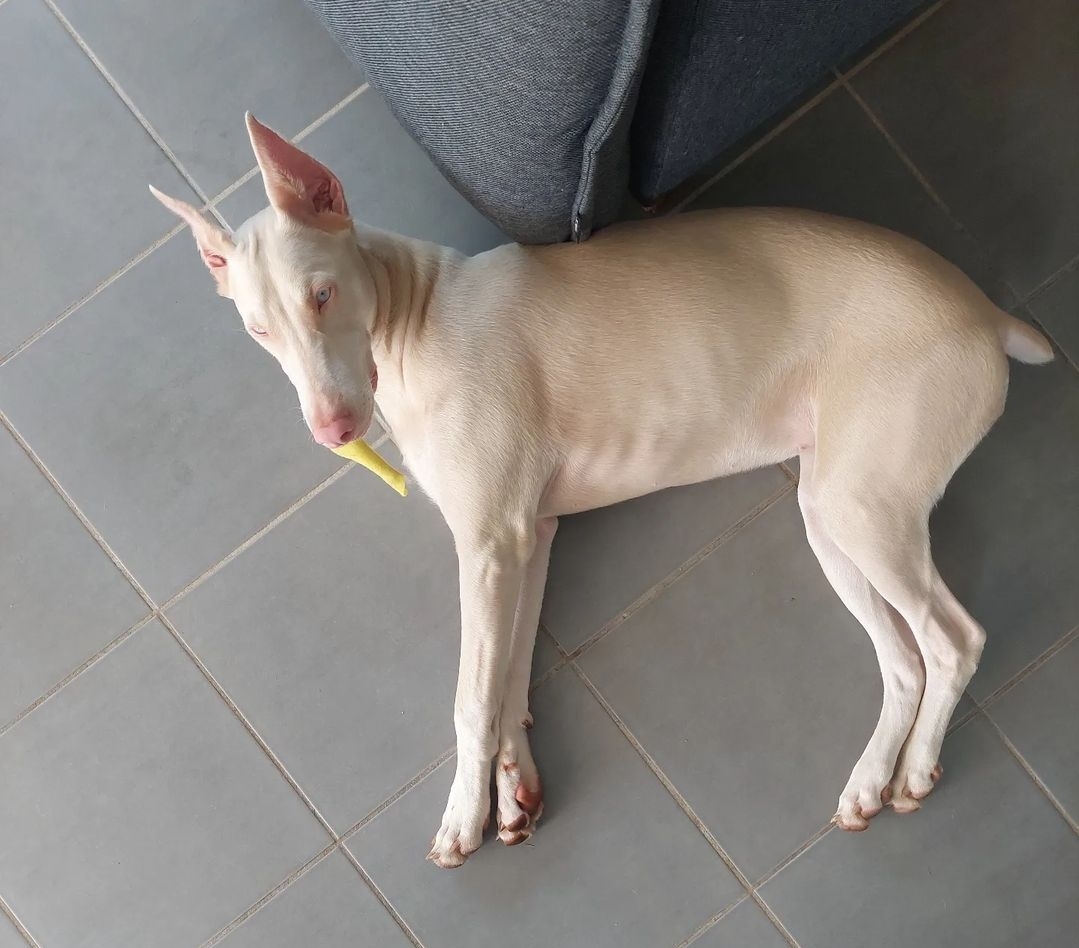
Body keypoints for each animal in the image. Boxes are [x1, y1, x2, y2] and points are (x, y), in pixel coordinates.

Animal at [151, 114, 1053, 868]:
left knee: (953, 640)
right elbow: (508, 681)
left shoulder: (489, 544)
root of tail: (985, 312)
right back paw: (869, 782)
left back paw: (918, 768)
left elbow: (471, 697)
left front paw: (460, 818)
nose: (333, 430)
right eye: (258, 329)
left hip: (862, 507)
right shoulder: (530, 536)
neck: (417, 317)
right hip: (830, 514)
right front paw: (512, 791)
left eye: (323, 293)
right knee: (902, 662)